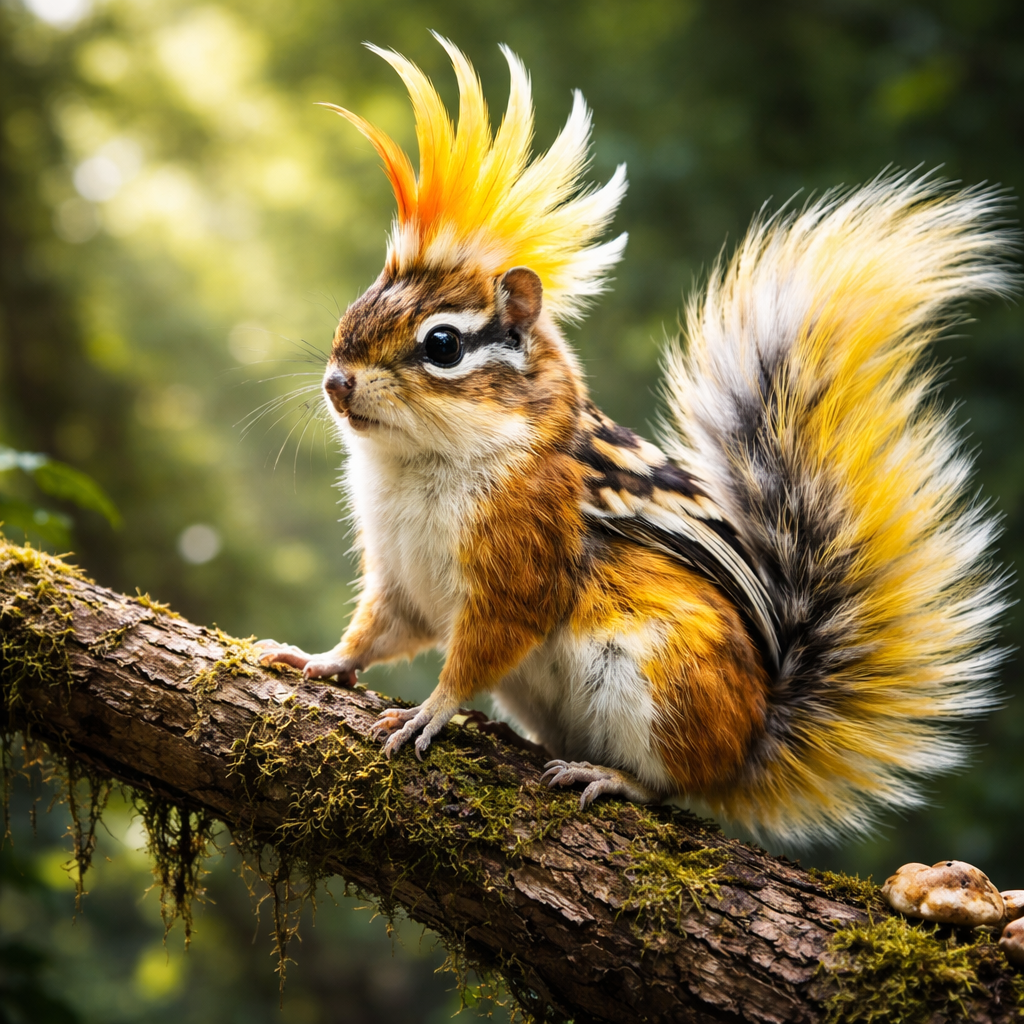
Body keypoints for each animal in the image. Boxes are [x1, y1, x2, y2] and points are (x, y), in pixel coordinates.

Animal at [257, 35, 1017, 844]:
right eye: (357, 304)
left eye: (442, 345)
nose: (336, 383)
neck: (417, 462)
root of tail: (754, 738)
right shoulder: (397, 577)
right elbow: (376, 632)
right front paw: (315, 659)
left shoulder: (518, 575)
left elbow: (472, 658)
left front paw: (428, 713)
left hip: (659, 681)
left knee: (677, 785)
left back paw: (609, 776)